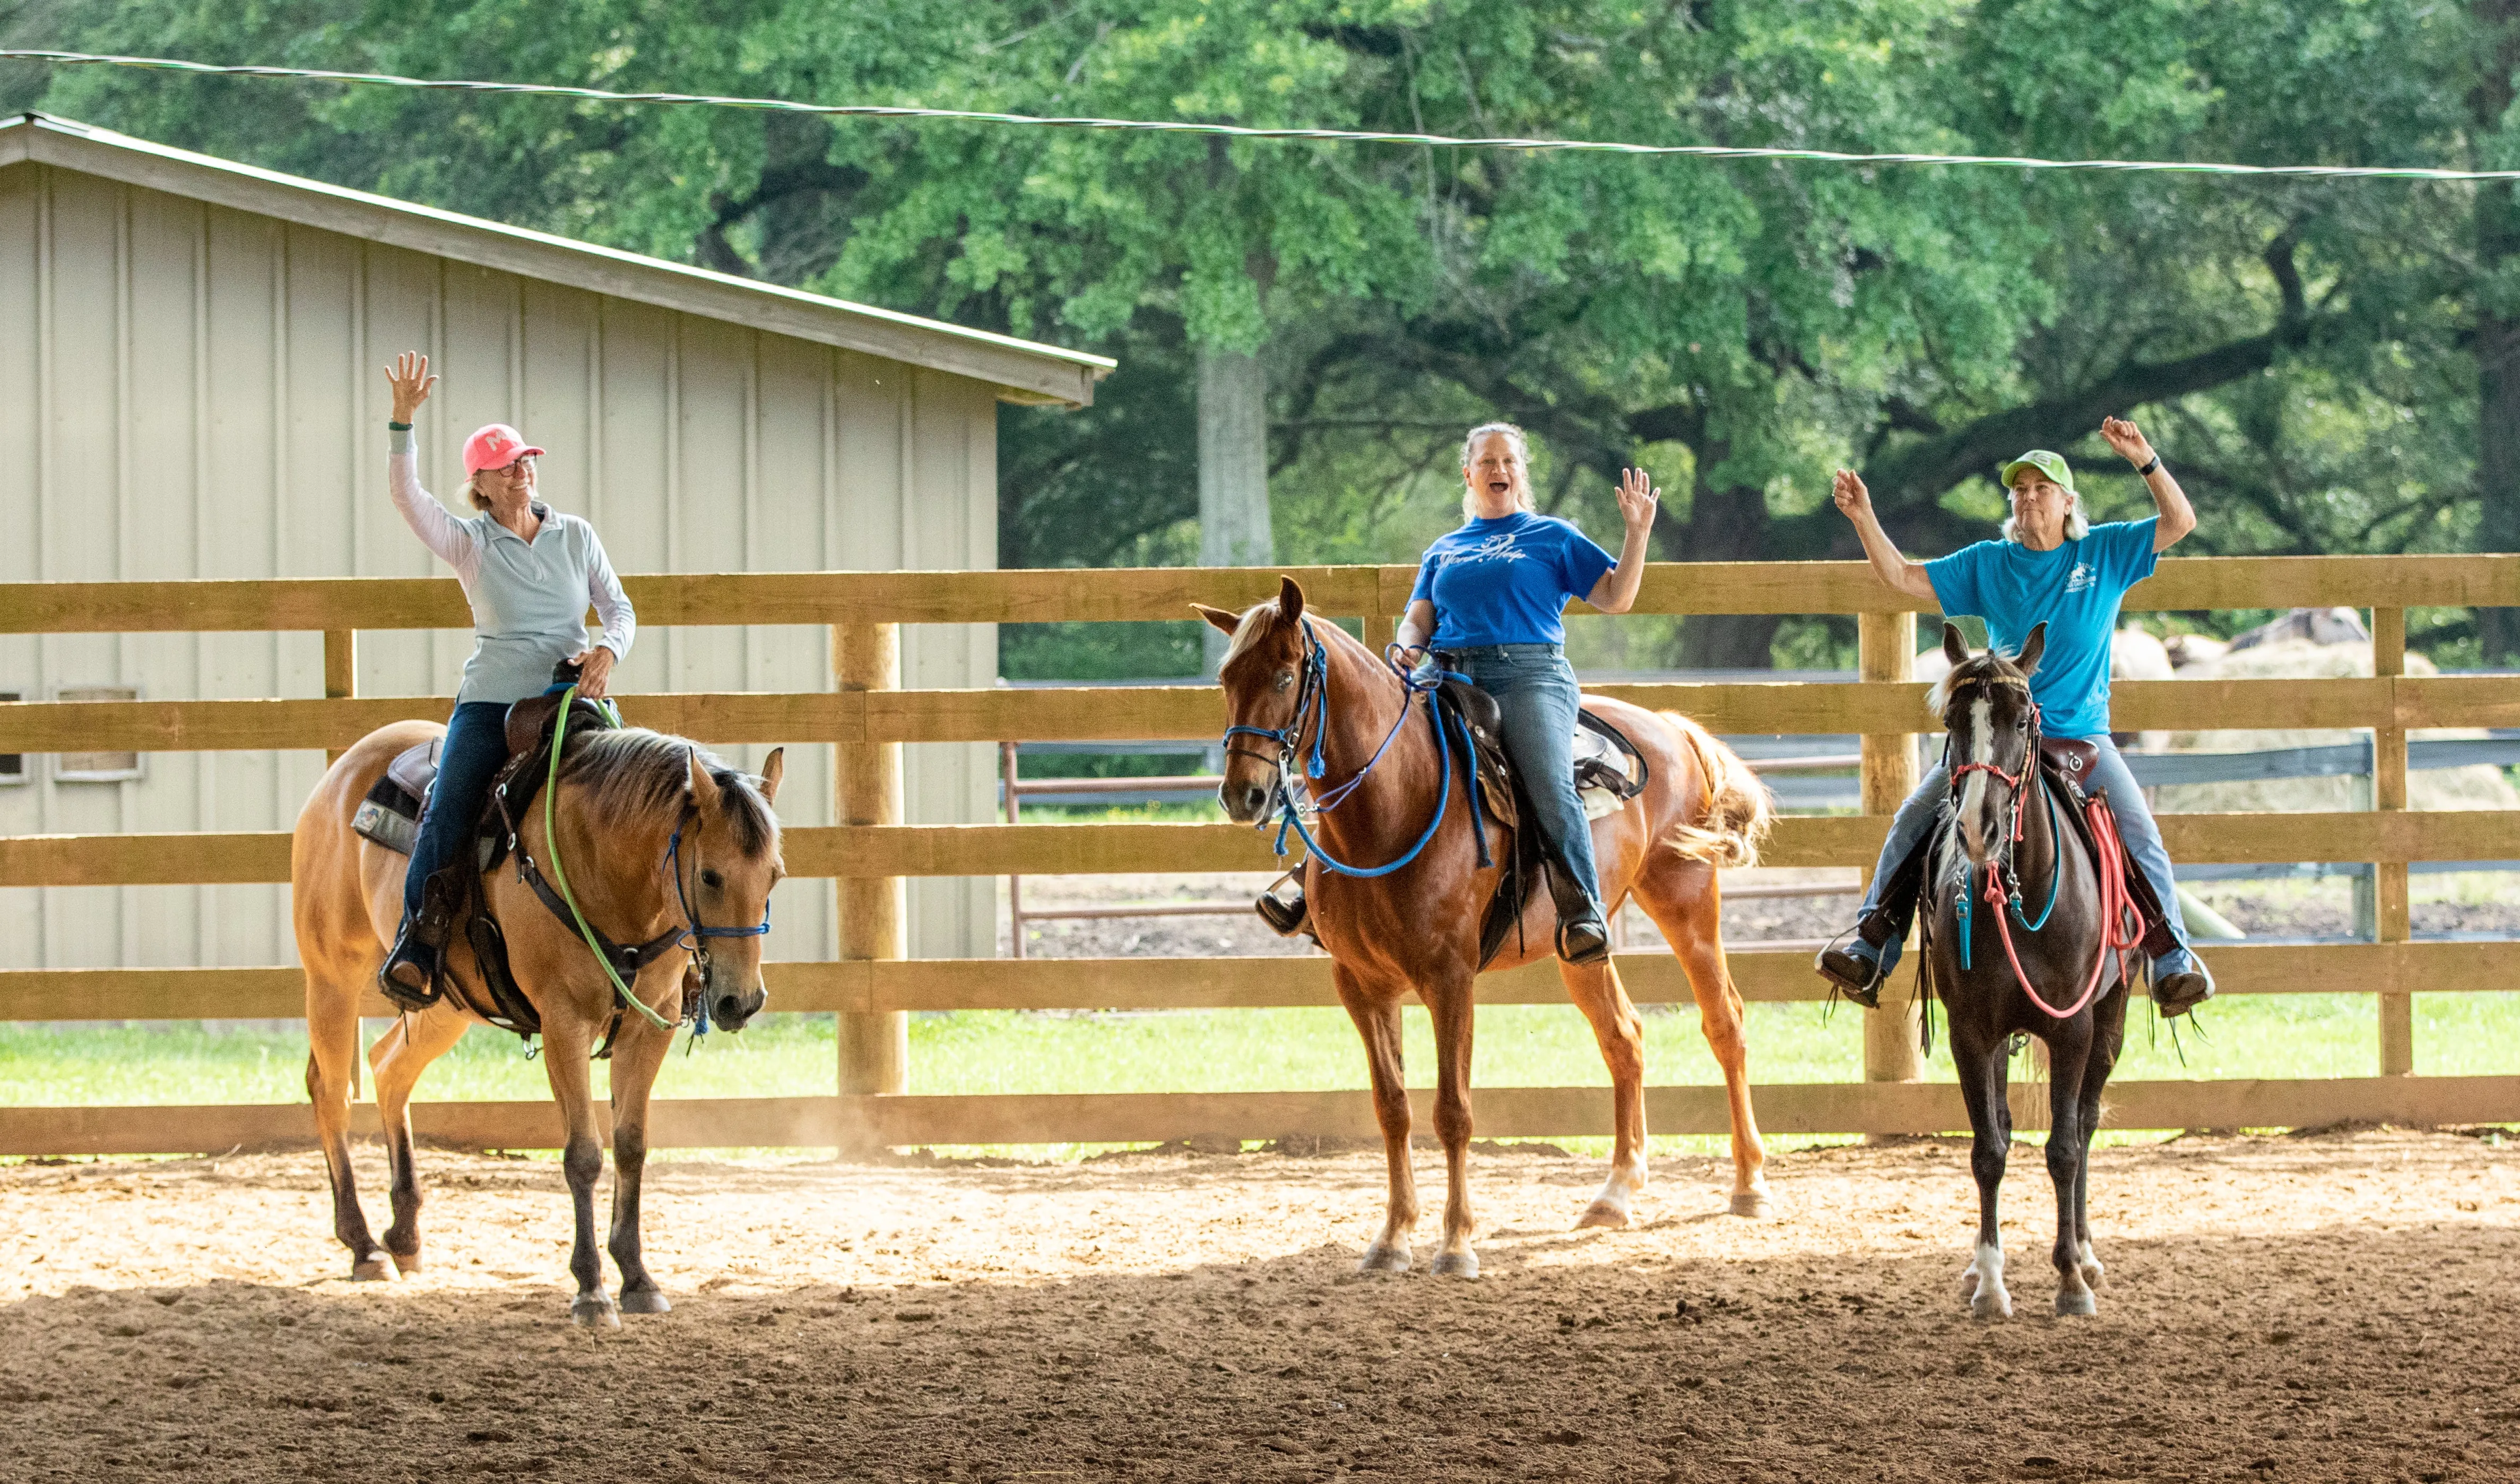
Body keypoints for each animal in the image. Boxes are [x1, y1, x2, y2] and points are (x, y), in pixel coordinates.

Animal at [288, 710, 776, 1320]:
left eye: (774, 875)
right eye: (710, 876)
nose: (742, 1001)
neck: (603, 863)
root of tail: (341, 774)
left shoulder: (649, 1026)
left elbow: (631, 1146)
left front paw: (638, 1277)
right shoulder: (564, 1023)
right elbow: (584, 1155)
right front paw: (591, 1289)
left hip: (445, 1004)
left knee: (387, 1069)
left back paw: (404, 1235)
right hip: (331, 976)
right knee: (331, 1089)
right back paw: (363, 1245)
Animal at [1199, 579, 1774, 1274]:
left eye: (1286, 676)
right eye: (1227, 677)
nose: (1243, 796)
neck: (1394, 805)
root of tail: (1672, 727)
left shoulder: (1450, 979)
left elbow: (1453, 1111)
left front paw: (1456, 1243)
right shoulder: (1360, 983)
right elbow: (1393, 1108)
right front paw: (1393, 1238)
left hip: (1685, 899)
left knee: (1725, 1023)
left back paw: (1750, 1185)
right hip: (1583, 945)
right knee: (1625, 1039)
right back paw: (1615, 1194)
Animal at [1925, 619, 2147, 1310]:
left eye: (2022, 719)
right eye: (1952, 720)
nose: (1978, 830)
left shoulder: (2074, 1028)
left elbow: (2064, 1148)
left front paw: (2071, 1278)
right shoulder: (1971, 1032)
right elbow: (1989, 1151)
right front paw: (1990, 1282)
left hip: (2112, 1018)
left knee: (2086, 1123)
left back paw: (2088, 1254)